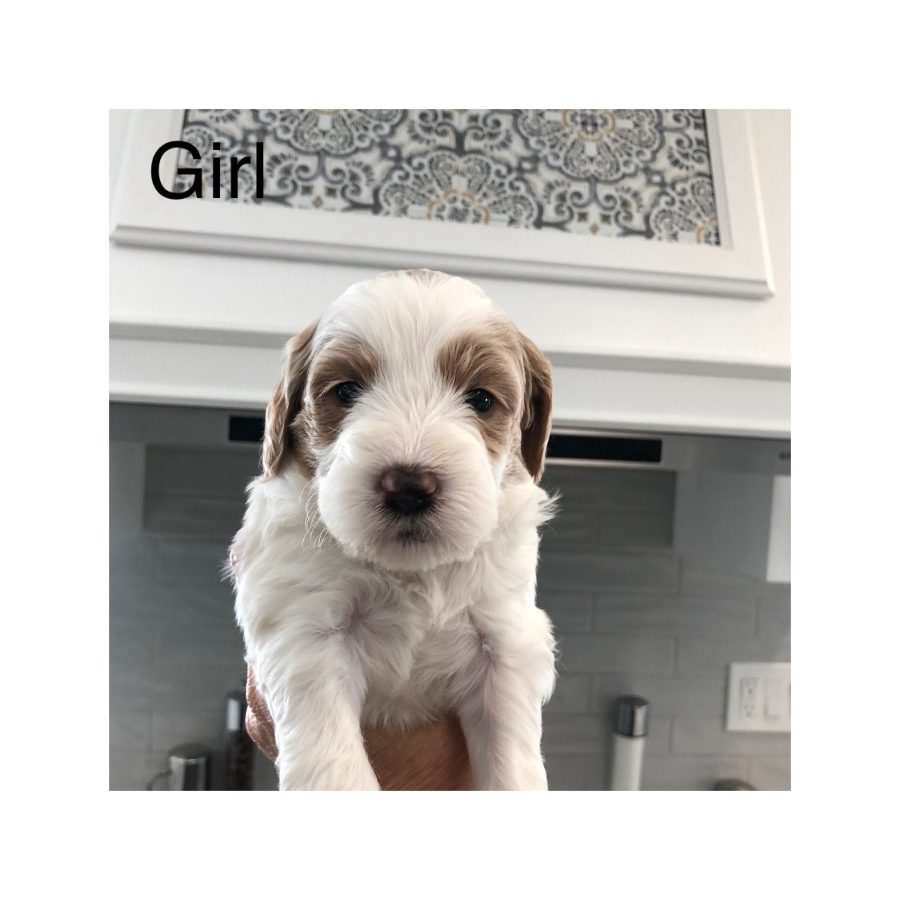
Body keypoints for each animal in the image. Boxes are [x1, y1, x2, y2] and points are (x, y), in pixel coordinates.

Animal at [230, 269, 556, 790]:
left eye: (481, 399)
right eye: (346, 391)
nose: (409, 486)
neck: (411, 572)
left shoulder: (504, 642)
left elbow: (512, 765)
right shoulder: (306, 628)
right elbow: (335, 764)